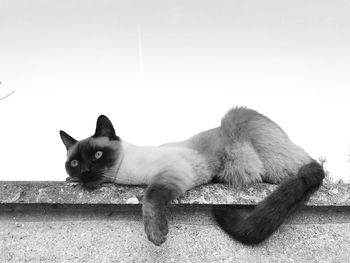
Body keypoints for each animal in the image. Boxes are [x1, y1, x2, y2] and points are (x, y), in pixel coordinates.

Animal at [58, 107, 324, 248]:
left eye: (98, 155)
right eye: (74, 162)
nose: (84, 173)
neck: (123, 174)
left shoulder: (172, 173)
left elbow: (150, 197)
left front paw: (157, 235)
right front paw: (71, 181)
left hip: (236, 121)